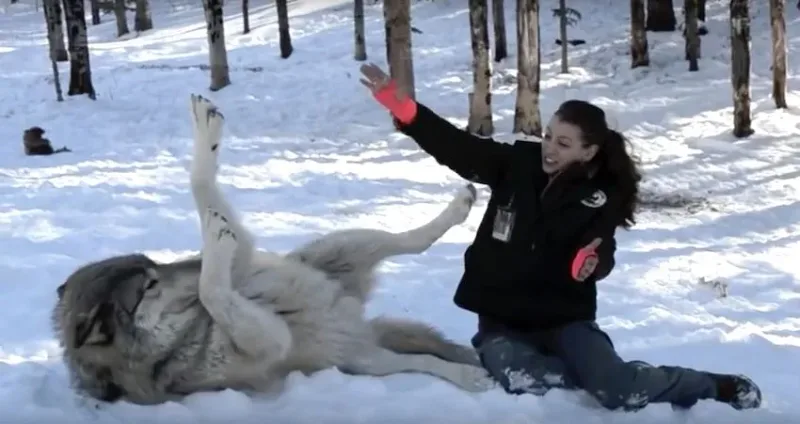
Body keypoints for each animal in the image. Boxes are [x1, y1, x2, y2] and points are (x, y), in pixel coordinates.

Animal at [51, 94, 496, 405]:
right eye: (148, 286)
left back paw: (461, 204)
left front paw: (206, 137)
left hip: (340, 249)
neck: (184, 333)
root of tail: (356, 322)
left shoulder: (243, 259)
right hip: (365, 360)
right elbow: (213, 288)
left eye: (152, 267)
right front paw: (213, 238)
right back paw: (471, 377)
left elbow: (202, 188)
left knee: (413, 241)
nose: (194, 261)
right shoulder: (270, 338)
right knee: (426, 363)